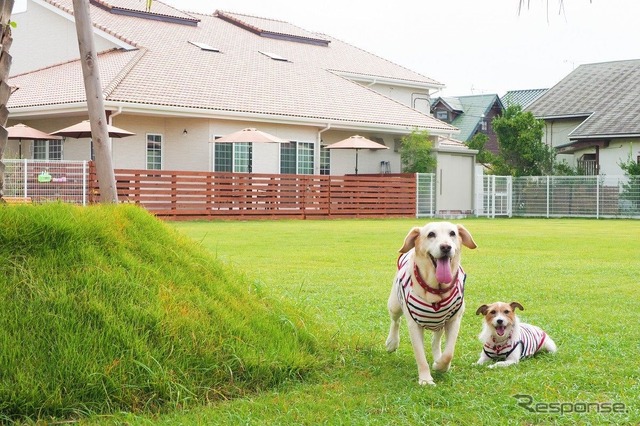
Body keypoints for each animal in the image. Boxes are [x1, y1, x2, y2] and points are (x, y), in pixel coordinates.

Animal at [384, 221, 476, 384]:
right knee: (395, 321)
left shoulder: (454, 320)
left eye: (452, 233)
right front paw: (426, 380)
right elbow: (420, 356)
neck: (437, 290)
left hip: (440, 321)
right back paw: (392, 342)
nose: (446, 247)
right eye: (431, 234)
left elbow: (449, 353)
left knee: (436, 339)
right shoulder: (414, 325)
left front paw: (440, 365)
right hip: (394, 304)